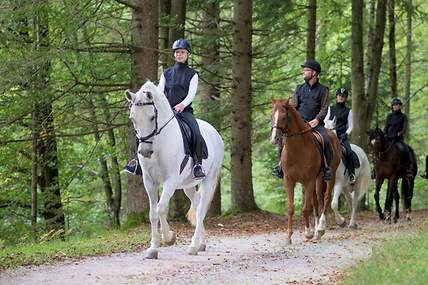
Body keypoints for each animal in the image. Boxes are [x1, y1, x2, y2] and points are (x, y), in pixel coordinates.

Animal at [125, 80, 224, 258]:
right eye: (132, 118)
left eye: (152, 117)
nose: (145, 152)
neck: (158, 143)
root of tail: (215, 132)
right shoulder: (149, 181)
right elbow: (152, 213)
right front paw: (153, 248)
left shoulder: (170, 180)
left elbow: (161, 208)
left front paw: (169, 237)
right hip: (188, 185)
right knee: (197, 205)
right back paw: (201, 243)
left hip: (209, 179)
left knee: (201, 209)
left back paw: (193, 246)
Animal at [270, 98, 342, 243]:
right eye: (271, 116)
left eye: (284, 117)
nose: (275, 139)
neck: (297, 150)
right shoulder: (289, 181)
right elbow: (291, 208)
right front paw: (289, 236)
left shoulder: (309, 181)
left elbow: (305, 208)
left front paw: (308, 233)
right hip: (317, 179)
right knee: (317, 201)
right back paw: (316, 230)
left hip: (329, 176)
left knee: (325, 198)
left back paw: (320, 229)